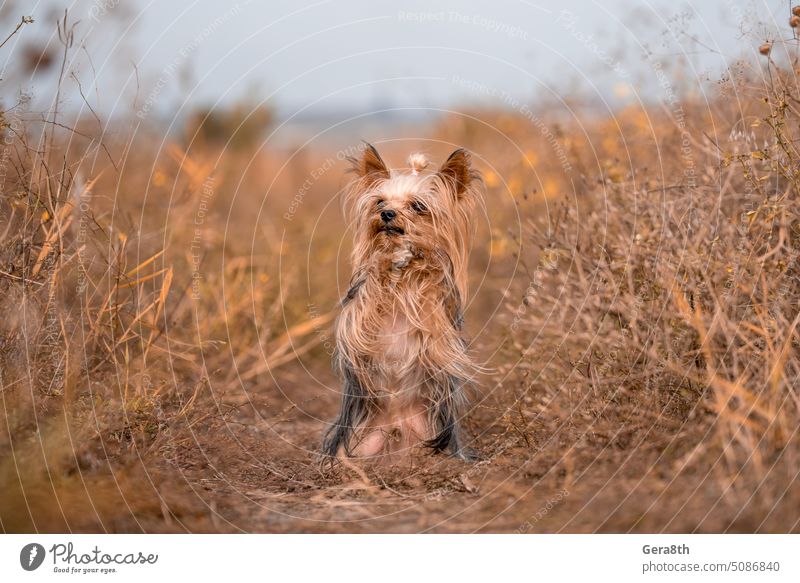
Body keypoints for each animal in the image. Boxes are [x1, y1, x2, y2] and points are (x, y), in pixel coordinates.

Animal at [324, 145, 482, 460]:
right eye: (380, 201)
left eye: (418, 206)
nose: (386, 214)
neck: (402, 280)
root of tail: (395, 428)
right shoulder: (357, 317)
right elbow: (370, 288)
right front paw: (386, 261)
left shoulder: (441, 316)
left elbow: (429, 290)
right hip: (362, 442)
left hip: (428, 434)